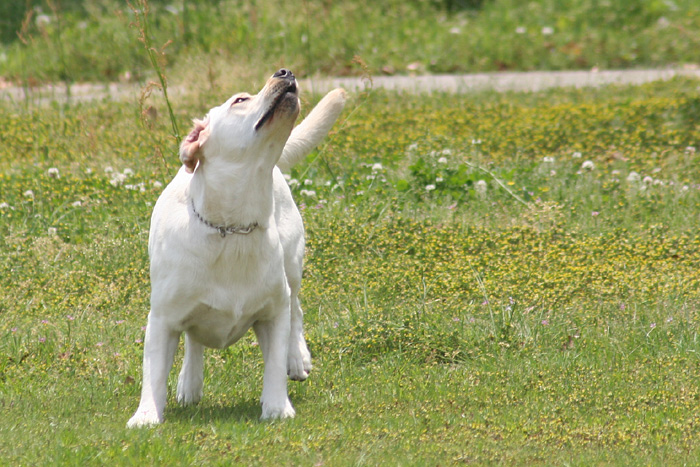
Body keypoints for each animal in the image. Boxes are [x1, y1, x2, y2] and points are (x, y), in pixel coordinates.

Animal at [127, 70, 346, 428]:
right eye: (240, 100)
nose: (285, 72)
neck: (232, 228)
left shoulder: (272, 313)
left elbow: (274, 363)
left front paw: (277, 408)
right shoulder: (161, 319)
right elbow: (153, 373)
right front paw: (146, 416)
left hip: (291, 265)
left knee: (296, 308)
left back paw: (297, 358)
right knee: (193, 340)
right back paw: (189, 382)